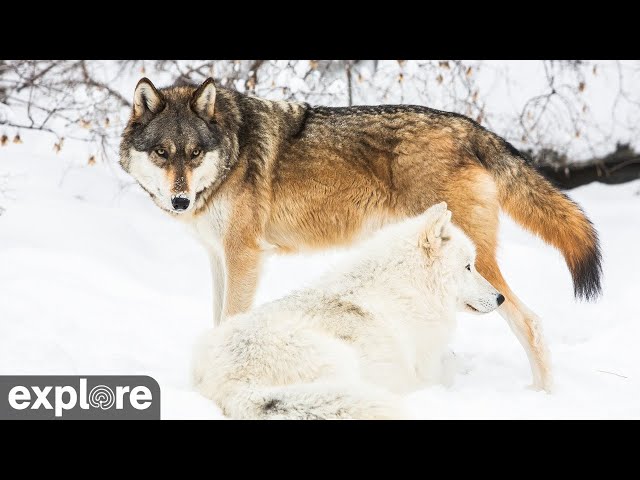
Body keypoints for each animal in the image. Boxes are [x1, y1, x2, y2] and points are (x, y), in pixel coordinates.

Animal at [119, 76, 600, 394]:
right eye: (162, 153)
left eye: (194, 153)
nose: (180, 201)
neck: (231, 152)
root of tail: (473, 128)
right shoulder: (218, 257)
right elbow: (216, 318)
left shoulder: (244, 255)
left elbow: (229, 319)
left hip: (482, 266)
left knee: (530, 321)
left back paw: (542, 397)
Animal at [192, 202, 502, 420]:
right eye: (469, 267)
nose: (500, 298)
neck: (411, 286)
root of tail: (234, 384)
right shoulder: (425, 370)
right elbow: (445, 371)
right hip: (342, 362)